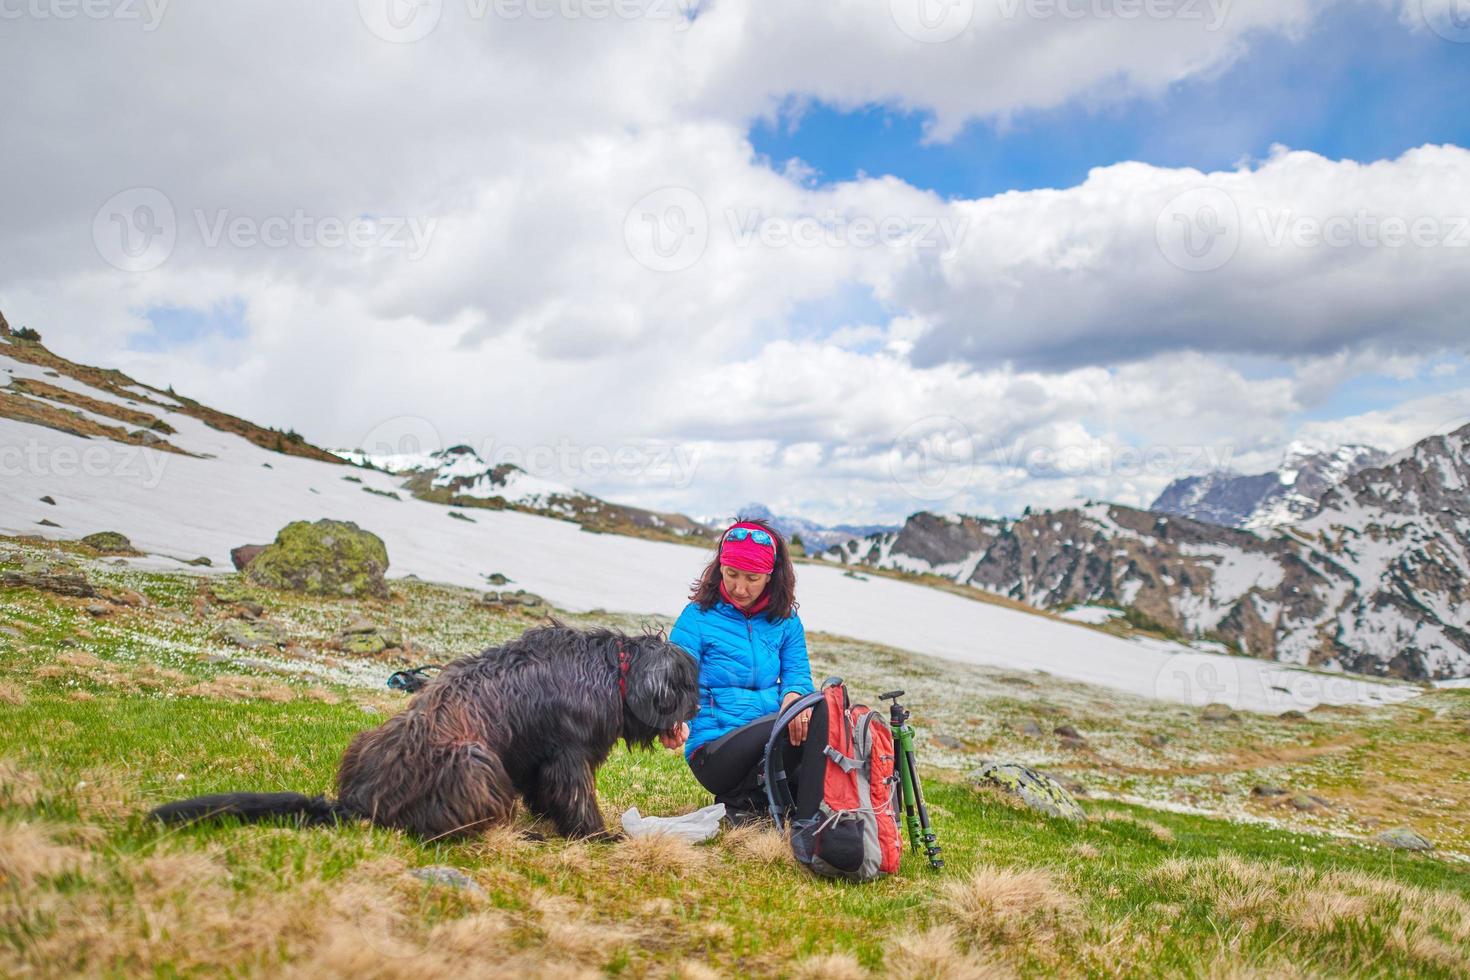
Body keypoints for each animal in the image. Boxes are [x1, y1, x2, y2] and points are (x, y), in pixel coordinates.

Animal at [149, 625, 699, 840]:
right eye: (687, 684)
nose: (698, 706)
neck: (615, 671)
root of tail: (359, 800)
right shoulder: (567, 755)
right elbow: (577, 798)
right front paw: (598, 836)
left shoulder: (534, 760)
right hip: (474, 762)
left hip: (371, 738)